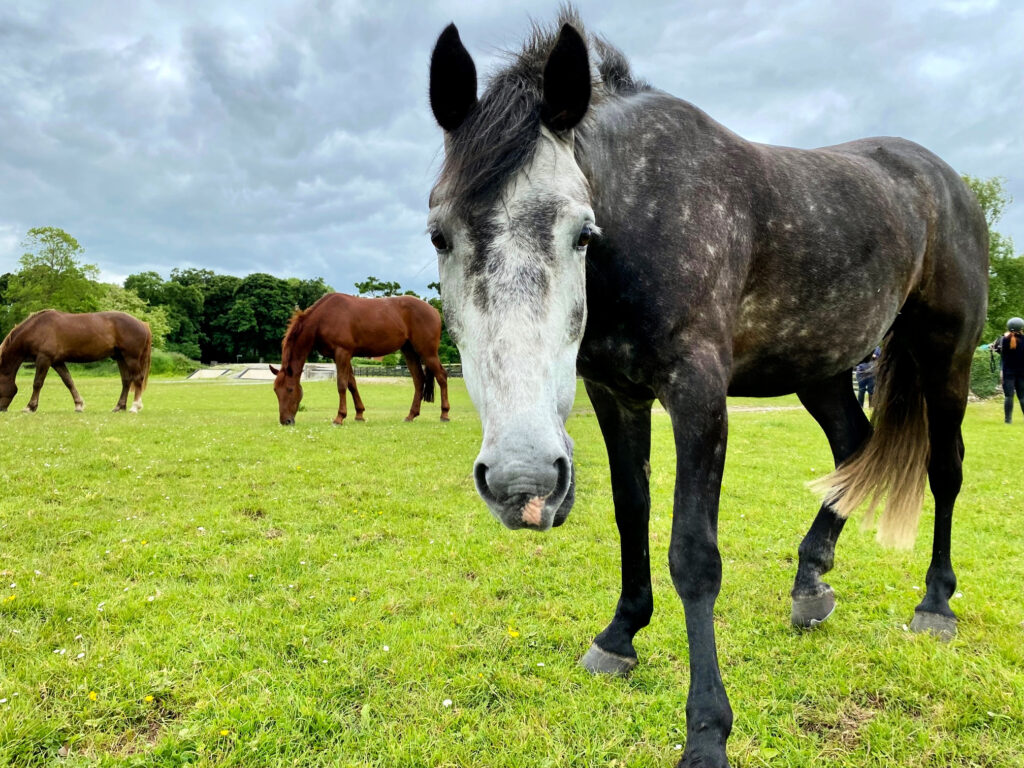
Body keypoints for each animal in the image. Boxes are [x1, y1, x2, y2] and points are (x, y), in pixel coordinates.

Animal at [0, 309, 152, 415]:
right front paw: (79, 405)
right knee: (126, 381)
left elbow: (37, 383)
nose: (1, 409)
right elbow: (69, 381)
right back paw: (119, 407)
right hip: (121, 358)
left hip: (131, 358)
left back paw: (135, 407)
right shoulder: (57, 362)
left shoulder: (44, 359)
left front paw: (30, 407)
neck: (37, 328)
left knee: (137, 379)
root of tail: (142, 323)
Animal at [270, 294, 450, 428]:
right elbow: (352, 384)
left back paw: (445, 414)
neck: (323, 318)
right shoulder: (342, 356)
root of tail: (434, 310)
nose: (285, 421)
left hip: (427, 352)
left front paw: (339, 417)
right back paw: (411, 415)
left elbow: (342, 384)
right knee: (419, 380)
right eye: (275, 391)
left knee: (441, 376)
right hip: (410, 351)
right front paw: (359, 414)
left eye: (290, 389)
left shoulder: (342, 353)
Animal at [428, 13, 987, 768]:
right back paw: (810, 583)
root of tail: (943, 179)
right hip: (819, 367)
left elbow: (693, 555)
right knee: (852, 448)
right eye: (439, 235)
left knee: (944, 469)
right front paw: (619, 635)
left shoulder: (697, 393)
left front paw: (706, 733)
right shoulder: (614, 393)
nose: (524, 481)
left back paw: (934, 604)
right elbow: (631, 514)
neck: (643, 213)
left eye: (582, 233)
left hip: (944, 355)